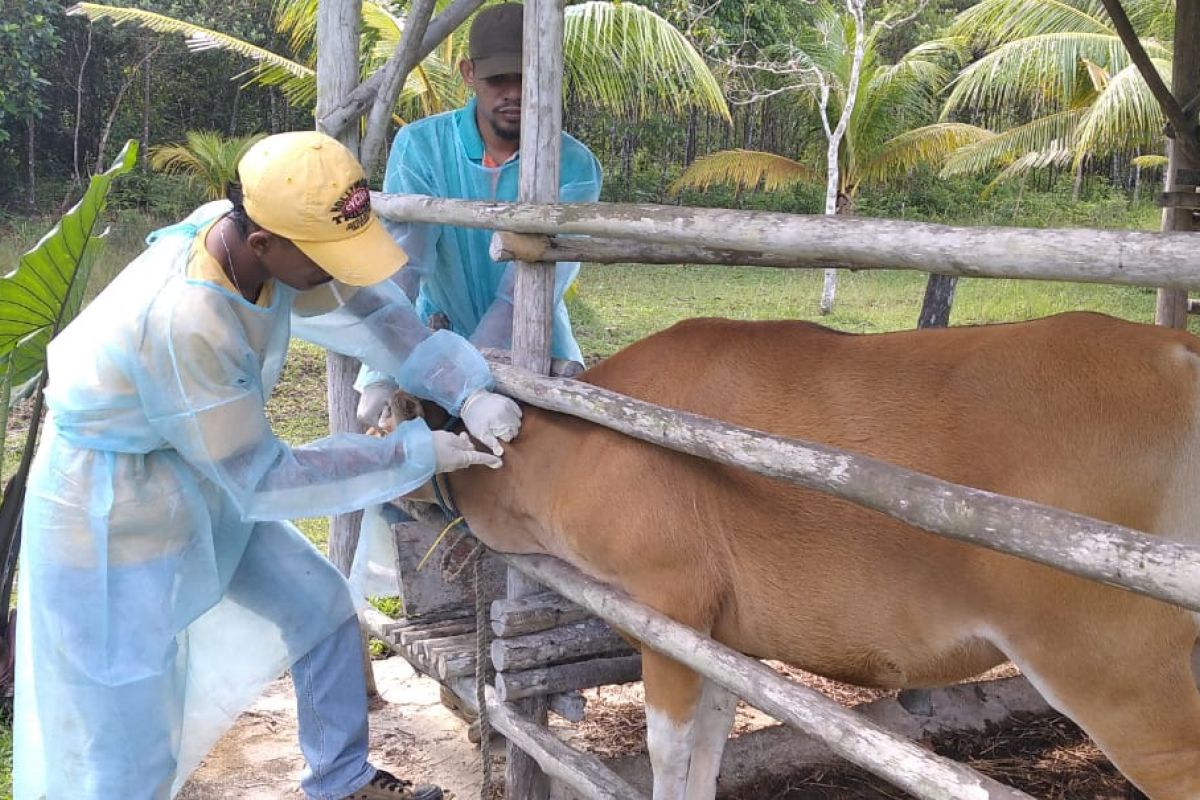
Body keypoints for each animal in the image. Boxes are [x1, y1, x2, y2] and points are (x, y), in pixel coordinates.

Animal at [403, 311, 1200, 800]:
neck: (579, 446)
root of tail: (1175, 349)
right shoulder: (723, 636)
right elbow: (711, 744)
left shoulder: (670, 608)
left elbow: (668, 751)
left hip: (1115, 663)